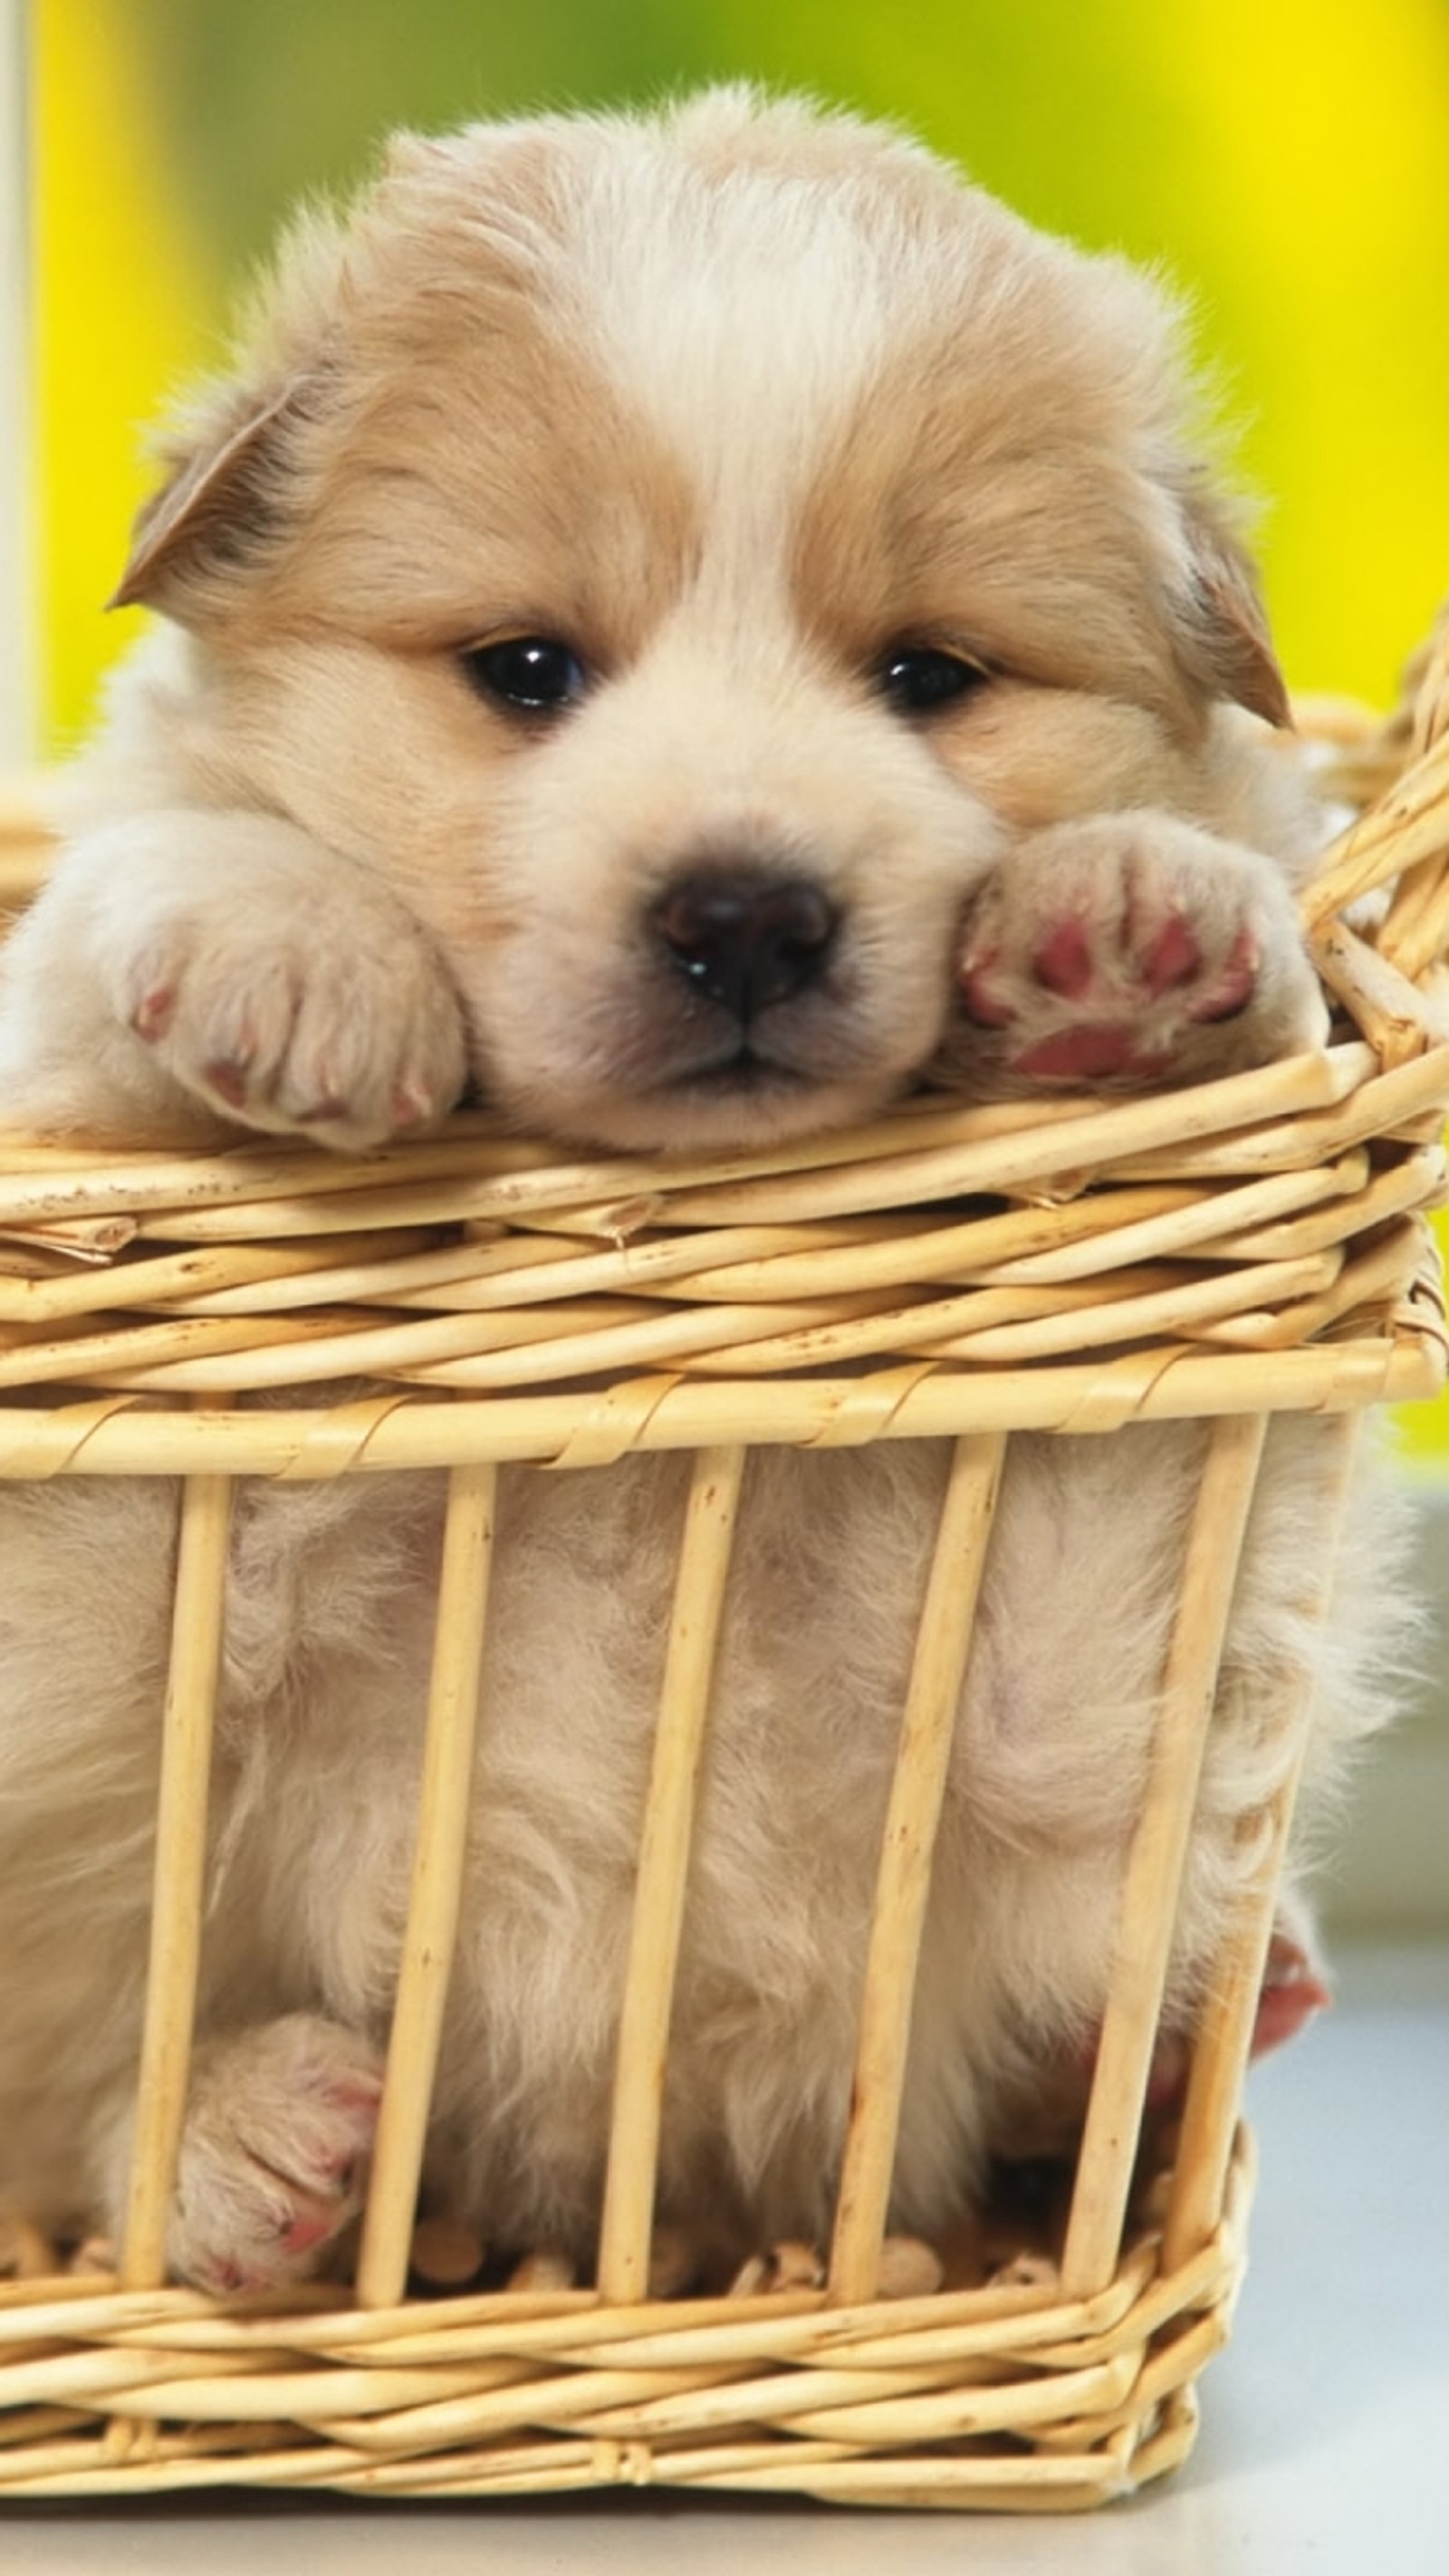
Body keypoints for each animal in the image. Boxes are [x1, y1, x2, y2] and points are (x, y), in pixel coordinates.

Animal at [0, 91, 1410, 2297]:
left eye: (927, 674)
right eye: (524, 668)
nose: (745, 912)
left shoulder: (1045, 1679)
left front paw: (1131, 925)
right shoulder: (109, 1615)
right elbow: (135, 899)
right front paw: (291, 961)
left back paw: (1211, 2014)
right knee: (87, 2114)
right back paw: (269, 2146)